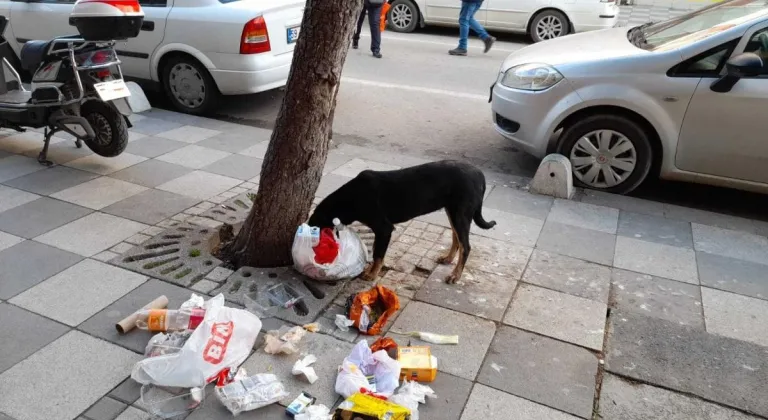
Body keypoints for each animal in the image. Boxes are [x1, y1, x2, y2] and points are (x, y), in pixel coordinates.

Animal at [308, 159, 498, 284]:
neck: (350, 198)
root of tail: (479, 174)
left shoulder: (384, 229)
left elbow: (378, 254)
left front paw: (372, 274)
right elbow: (377, 251)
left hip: (460, 213)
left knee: (466, 246)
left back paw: (455, 275)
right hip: (452, 211)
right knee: (456, 237)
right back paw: (448, 258)